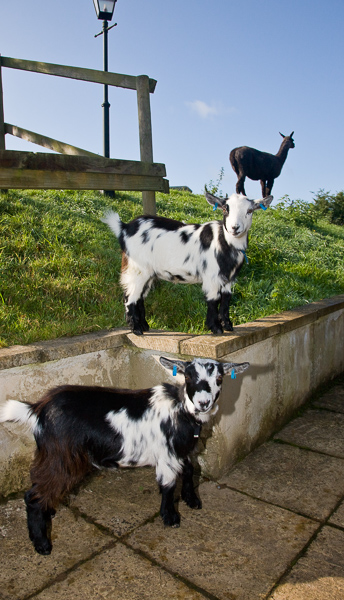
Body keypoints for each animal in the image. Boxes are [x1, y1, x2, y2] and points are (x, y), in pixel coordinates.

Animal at [0, 354, 249, 556]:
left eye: (219, 378)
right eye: (188, 377)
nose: (203, 403)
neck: (181, 410)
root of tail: (37, 409)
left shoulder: (183, 451)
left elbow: (190, 469)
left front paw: (192, 500)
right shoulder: (167, 455)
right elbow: (169, 485)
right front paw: (170, 518)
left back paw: (48, 514)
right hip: (61, 455)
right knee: (33, 495)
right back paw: (42, 544)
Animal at [103, 190, 272, 336]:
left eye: (250, 211)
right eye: (225, 209)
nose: (235, 228)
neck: (225, 242)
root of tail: (125, 228)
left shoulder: (228, 278)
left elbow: (226, 300)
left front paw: (228, 326)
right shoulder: (211, 277)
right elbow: (214, 300)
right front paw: (216, 328)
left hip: (148, 273)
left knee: (139, 297)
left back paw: (144, 326)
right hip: (138, 269)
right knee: (130, 297)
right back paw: (136, 329)